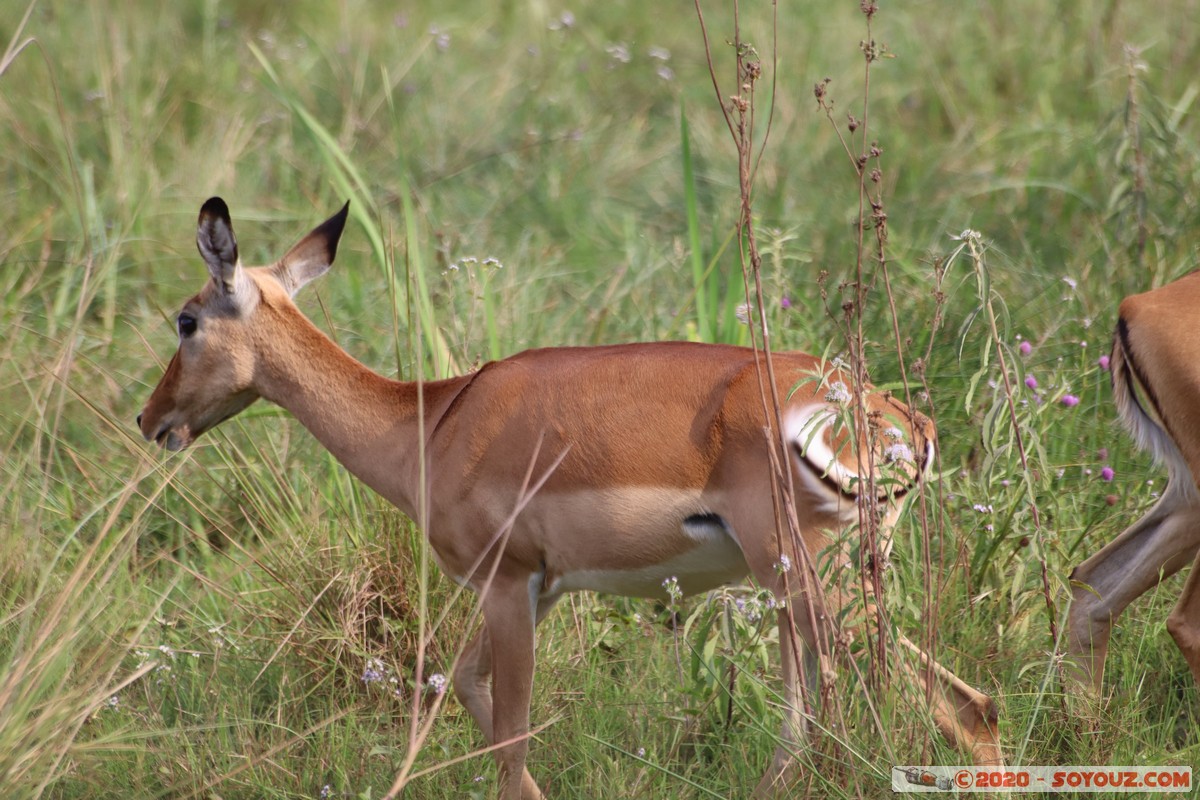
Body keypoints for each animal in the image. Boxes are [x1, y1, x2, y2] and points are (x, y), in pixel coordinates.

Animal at [138, 196, 1003, 796]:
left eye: (185, 320)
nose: (151, 419)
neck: (433, 423)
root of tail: (890, 414)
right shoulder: (540, 589)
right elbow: (468, 689)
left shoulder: (505, 584)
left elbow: (508, 736)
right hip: (807, 588)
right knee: (822, 728)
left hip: (810, 580)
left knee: (952, 707)